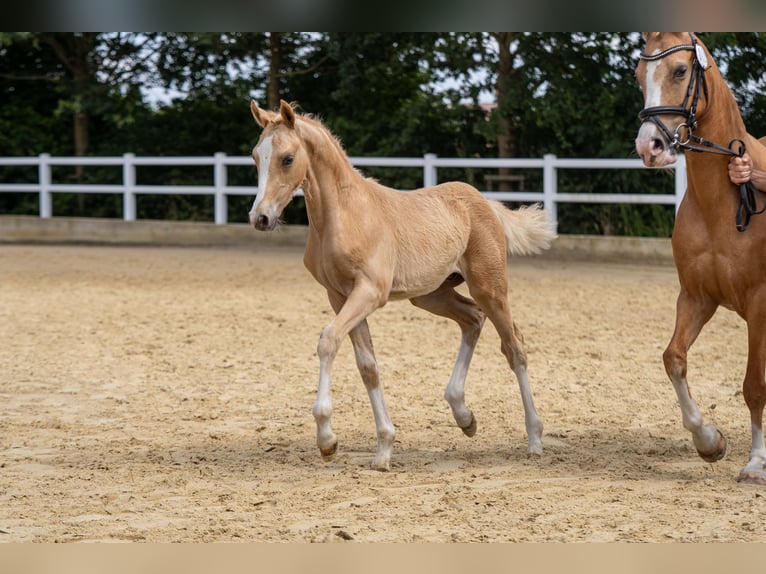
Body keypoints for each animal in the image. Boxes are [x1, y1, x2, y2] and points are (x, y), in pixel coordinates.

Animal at [248, 99, 557, 471]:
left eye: (288, 158)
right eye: (255, 156)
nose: (260, 218)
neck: (345, 215)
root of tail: (484, 202)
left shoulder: (370, 292)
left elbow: (328, 341)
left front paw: (327, 439)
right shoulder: (340, 296)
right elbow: (368, 366)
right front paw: (383, 447)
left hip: (490, 287)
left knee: (514, 347)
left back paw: (535, 439)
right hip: (432, 294)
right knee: (472, 319)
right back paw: (464, 416)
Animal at [635, 32, 766, 484]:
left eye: (679, 71)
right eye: (638, 76)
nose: (650, 146)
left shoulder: (760, 305)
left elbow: (754, 384)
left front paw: (756, 463)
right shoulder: (696, 297)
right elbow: (673, 358)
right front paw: (709, 441)